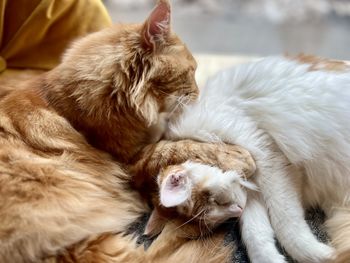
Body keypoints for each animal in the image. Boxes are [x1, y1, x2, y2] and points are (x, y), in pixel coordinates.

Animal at [164, 54, 350, 262]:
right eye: (220, 213)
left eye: (217, 202)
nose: (237, 209)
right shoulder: (252, 192)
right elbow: (255, 235)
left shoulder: (268, 155)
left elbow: (286, 222)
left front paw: (324, 254)